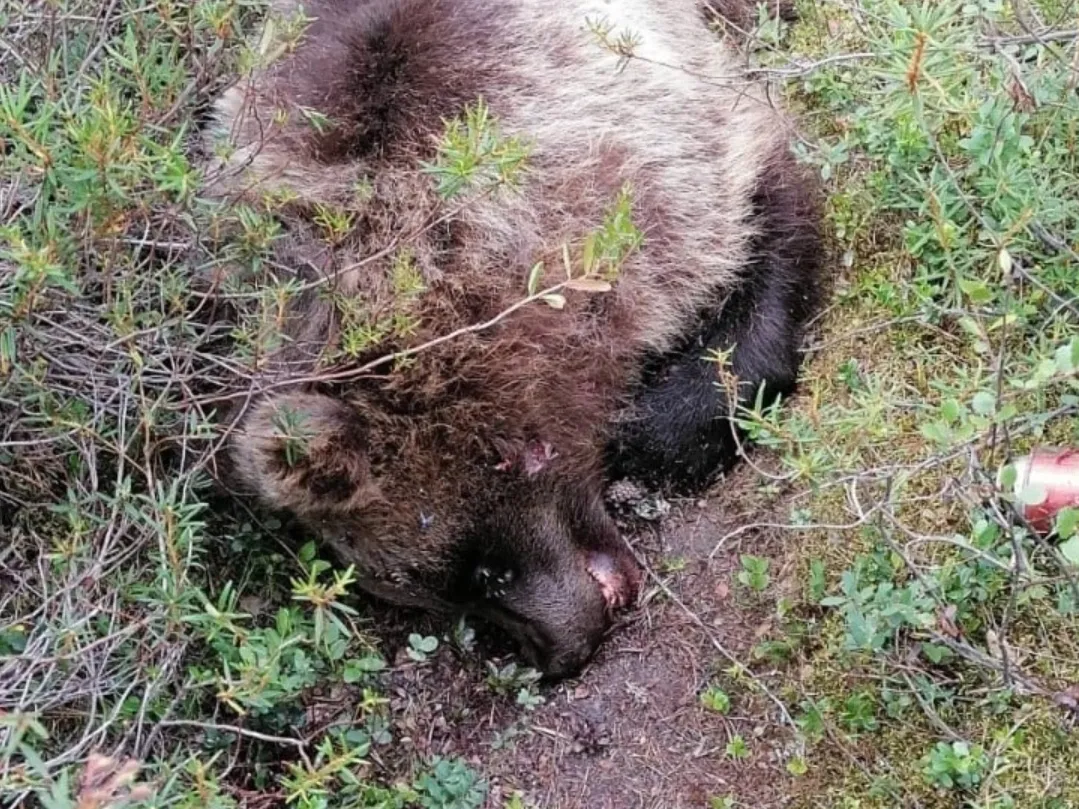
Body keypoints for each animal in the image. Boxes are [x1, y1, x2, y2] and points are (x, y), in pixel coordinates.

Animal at [202, 0, 820, 681]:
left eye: (483, 569)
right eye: (439, 593)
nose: (560, 651)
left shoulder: (661, 155)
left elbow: (766, 229)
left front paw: (646, 430)